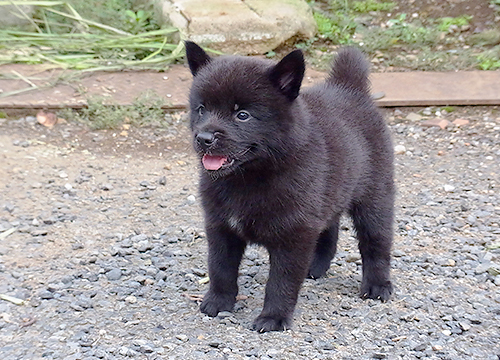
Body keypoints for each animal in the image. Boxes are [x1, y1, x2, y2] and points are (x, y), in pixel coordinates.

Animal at [185, 41, 394, 332]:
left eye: (242, 115)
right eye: (201, 108)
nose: (203, 138)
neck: (249, 178)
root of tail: (349, 87)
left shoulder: (293, 235)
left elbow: (280, 282)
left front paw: (273, 317)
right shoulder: (220, 228)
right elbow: (220, 268)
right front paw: (218, 302)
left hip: (375, 198)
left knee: (376, 242)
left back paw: (377, 285)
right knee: (329, 231)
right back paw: (315, 267)